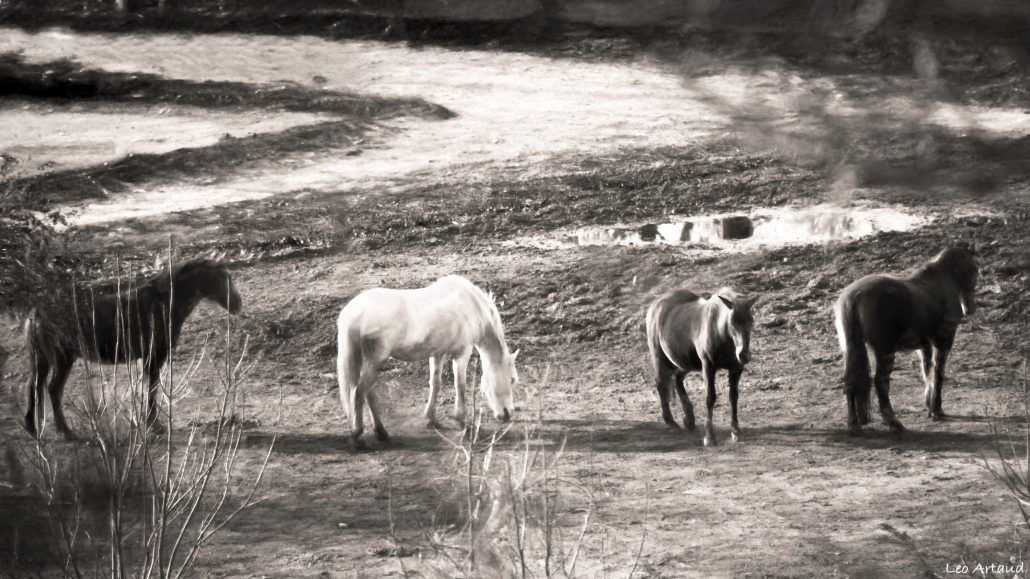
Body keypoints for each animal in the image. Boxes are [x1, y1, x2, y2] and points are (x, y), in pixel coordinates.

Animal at [23, 259, 243, 440]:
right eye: (222, 278)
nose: (238, 304)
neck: (167, 302)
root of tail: (35, 314)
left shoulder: (145, 357)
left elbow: (146, 387)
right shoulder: (155, 355)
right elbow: (152, 388)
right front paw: (154, 425)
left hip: (40, 358)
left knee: (34, 386)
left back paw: (32, 429)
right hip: (62, 358)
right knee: (53, 388)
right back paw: (66, 432)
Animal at [336, 275, 519, 449]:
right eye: (512, 379)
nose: (508, 414)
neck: (472, 305)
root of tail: (353, 313)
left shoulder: (438, 354)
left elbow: (435, 383)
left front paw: (431, 418)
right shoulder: (462, 353)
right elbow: (460, 386)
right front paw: (462, 421)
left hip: (368, 362)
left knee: (369, 394)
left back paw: (381, 432)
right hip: (375, 361)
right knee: (358, 392)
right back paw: (357, 434)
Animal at [646, 287, 756, 447]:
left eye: (751, 321)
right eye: (732, 322)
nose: (744, 355)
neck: (720, 332)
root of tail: (655, 304)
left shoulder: (736, 369)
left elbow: (733, 397)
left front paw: (735, 431)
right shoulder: (708, 367)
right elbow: (710, 398)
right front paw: (709, 437)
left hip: (685, 363)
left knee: (677, 379)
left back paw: (689, 419)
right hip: (660, 358)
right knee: (661, 384)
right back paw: (671, 422)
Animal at [834, 245, 978, 435]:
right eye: (975, 270)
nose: (970, 309)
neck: (943, 281)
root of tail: (855, 296)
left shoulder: (924, 345)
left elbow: (927, 372)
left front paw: (929, 406)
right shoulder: (943, 341)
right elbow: (938, 374)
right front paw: (937, 410)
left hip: (851, 349)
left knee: (851, 382)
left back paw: (854, 424)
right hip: (885, 351)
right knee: (880, 382)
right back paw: (894, 422)